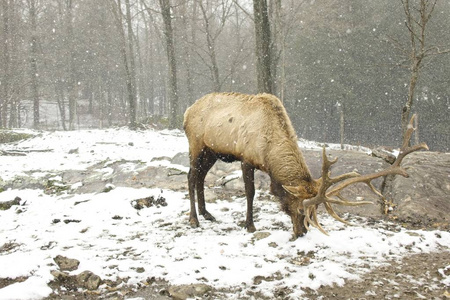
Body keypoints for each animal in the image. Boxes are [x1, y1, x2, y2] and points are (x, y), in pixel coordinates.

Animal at [184, 92, 428, 238]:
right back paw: (194, 219)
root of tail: (186, 112)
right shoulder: (246, 159)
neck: (268, 155)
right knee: (191, 176)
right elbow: (251, 192)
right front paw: (250, 225)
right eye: (301, 209)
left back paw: (207, 213)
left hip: (212, 151)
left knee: (201, 177)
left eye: (315, 211)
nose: (301, 232)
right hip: (196, 144)